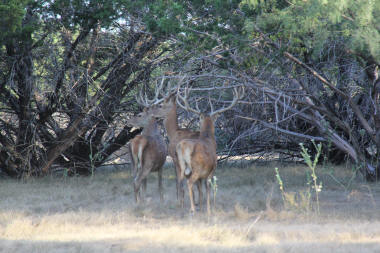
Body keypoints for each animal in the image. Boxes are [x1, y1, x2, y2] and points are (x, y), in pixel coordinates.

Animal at [174, 86, 243, 214]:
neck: (208, 139)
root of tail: (182, 146)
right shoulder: (211, 170)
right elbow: (207, 189)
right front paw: (209, 209)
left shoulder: (201, 176)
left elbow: (200, 190)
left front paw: (201, 207)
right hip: (196, 167)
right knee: (189, 183)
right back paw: (192, 209)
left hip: (181, 166)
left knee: (180, 183)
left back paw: (181, 206)